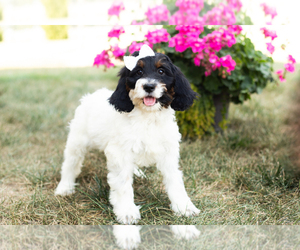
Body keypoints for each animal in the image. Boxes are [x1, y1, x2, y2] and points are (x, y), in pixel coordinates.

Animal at [55, 44, 200, 224]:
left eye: (161, 71)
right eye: (138, 72)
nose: (149, 86)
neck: (147, 117)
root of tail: (93, 95)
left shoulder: (168, 152)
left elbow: (175, 179)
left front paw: (184, 207)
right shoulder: (119, 153)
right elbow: (122, 182)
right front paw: (127, 211)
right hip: (78, 140)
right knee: (71, 163)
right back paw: (65, 187)